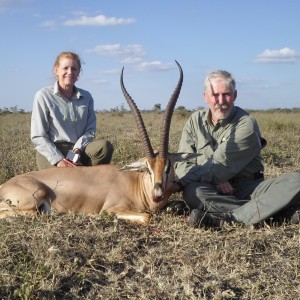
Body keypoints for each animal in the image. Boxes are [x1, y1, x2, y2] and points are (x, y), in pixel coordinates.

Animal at [0, 60, 196, 223]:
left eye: (168, 166)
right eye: (147, 168)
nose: (157, 195)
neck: (135, 183)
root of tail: (4, 186)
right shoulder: (112, 209)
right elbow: (147, 216)